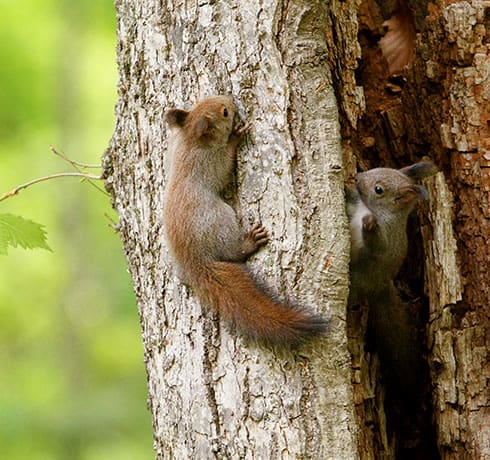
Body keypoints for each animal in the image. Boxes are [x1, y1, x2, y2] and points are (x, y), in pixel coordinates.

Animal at [164, 94, 330, 344]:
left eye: (207, 99)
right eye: (224, 112)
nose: (229, 99)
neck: (191, 141)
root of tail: (195, 262)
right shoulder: (210, 162)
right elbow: (225, 167)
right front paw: (236, 136)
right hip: (220, 218)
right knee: (232, 252)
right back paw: (249, 243)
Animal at [344, 162, 436, 396]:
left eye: (379, 189)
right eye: (376, 168)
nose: (356, 177)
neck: (373, 210)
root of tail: (380, 285)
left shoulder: (385, 240)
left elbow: (376, 243)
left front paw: (370, 225)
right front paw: (346, 189)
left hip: (362, 279)